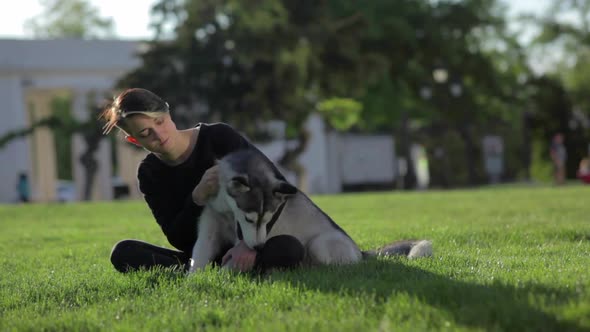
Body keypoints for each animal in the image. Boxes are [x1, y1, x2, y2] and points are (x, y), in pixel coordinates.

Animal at [190, 149, 434, 274]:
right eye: (249, 219)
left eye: (269, 220)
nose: (259, 247)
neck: (227, 212)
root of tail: (359, 251)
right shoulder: (209, 230)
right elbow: (198, 259)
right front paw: (195, 283)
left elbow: (232, 262)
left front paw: (221, 277)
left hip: (320, 243)